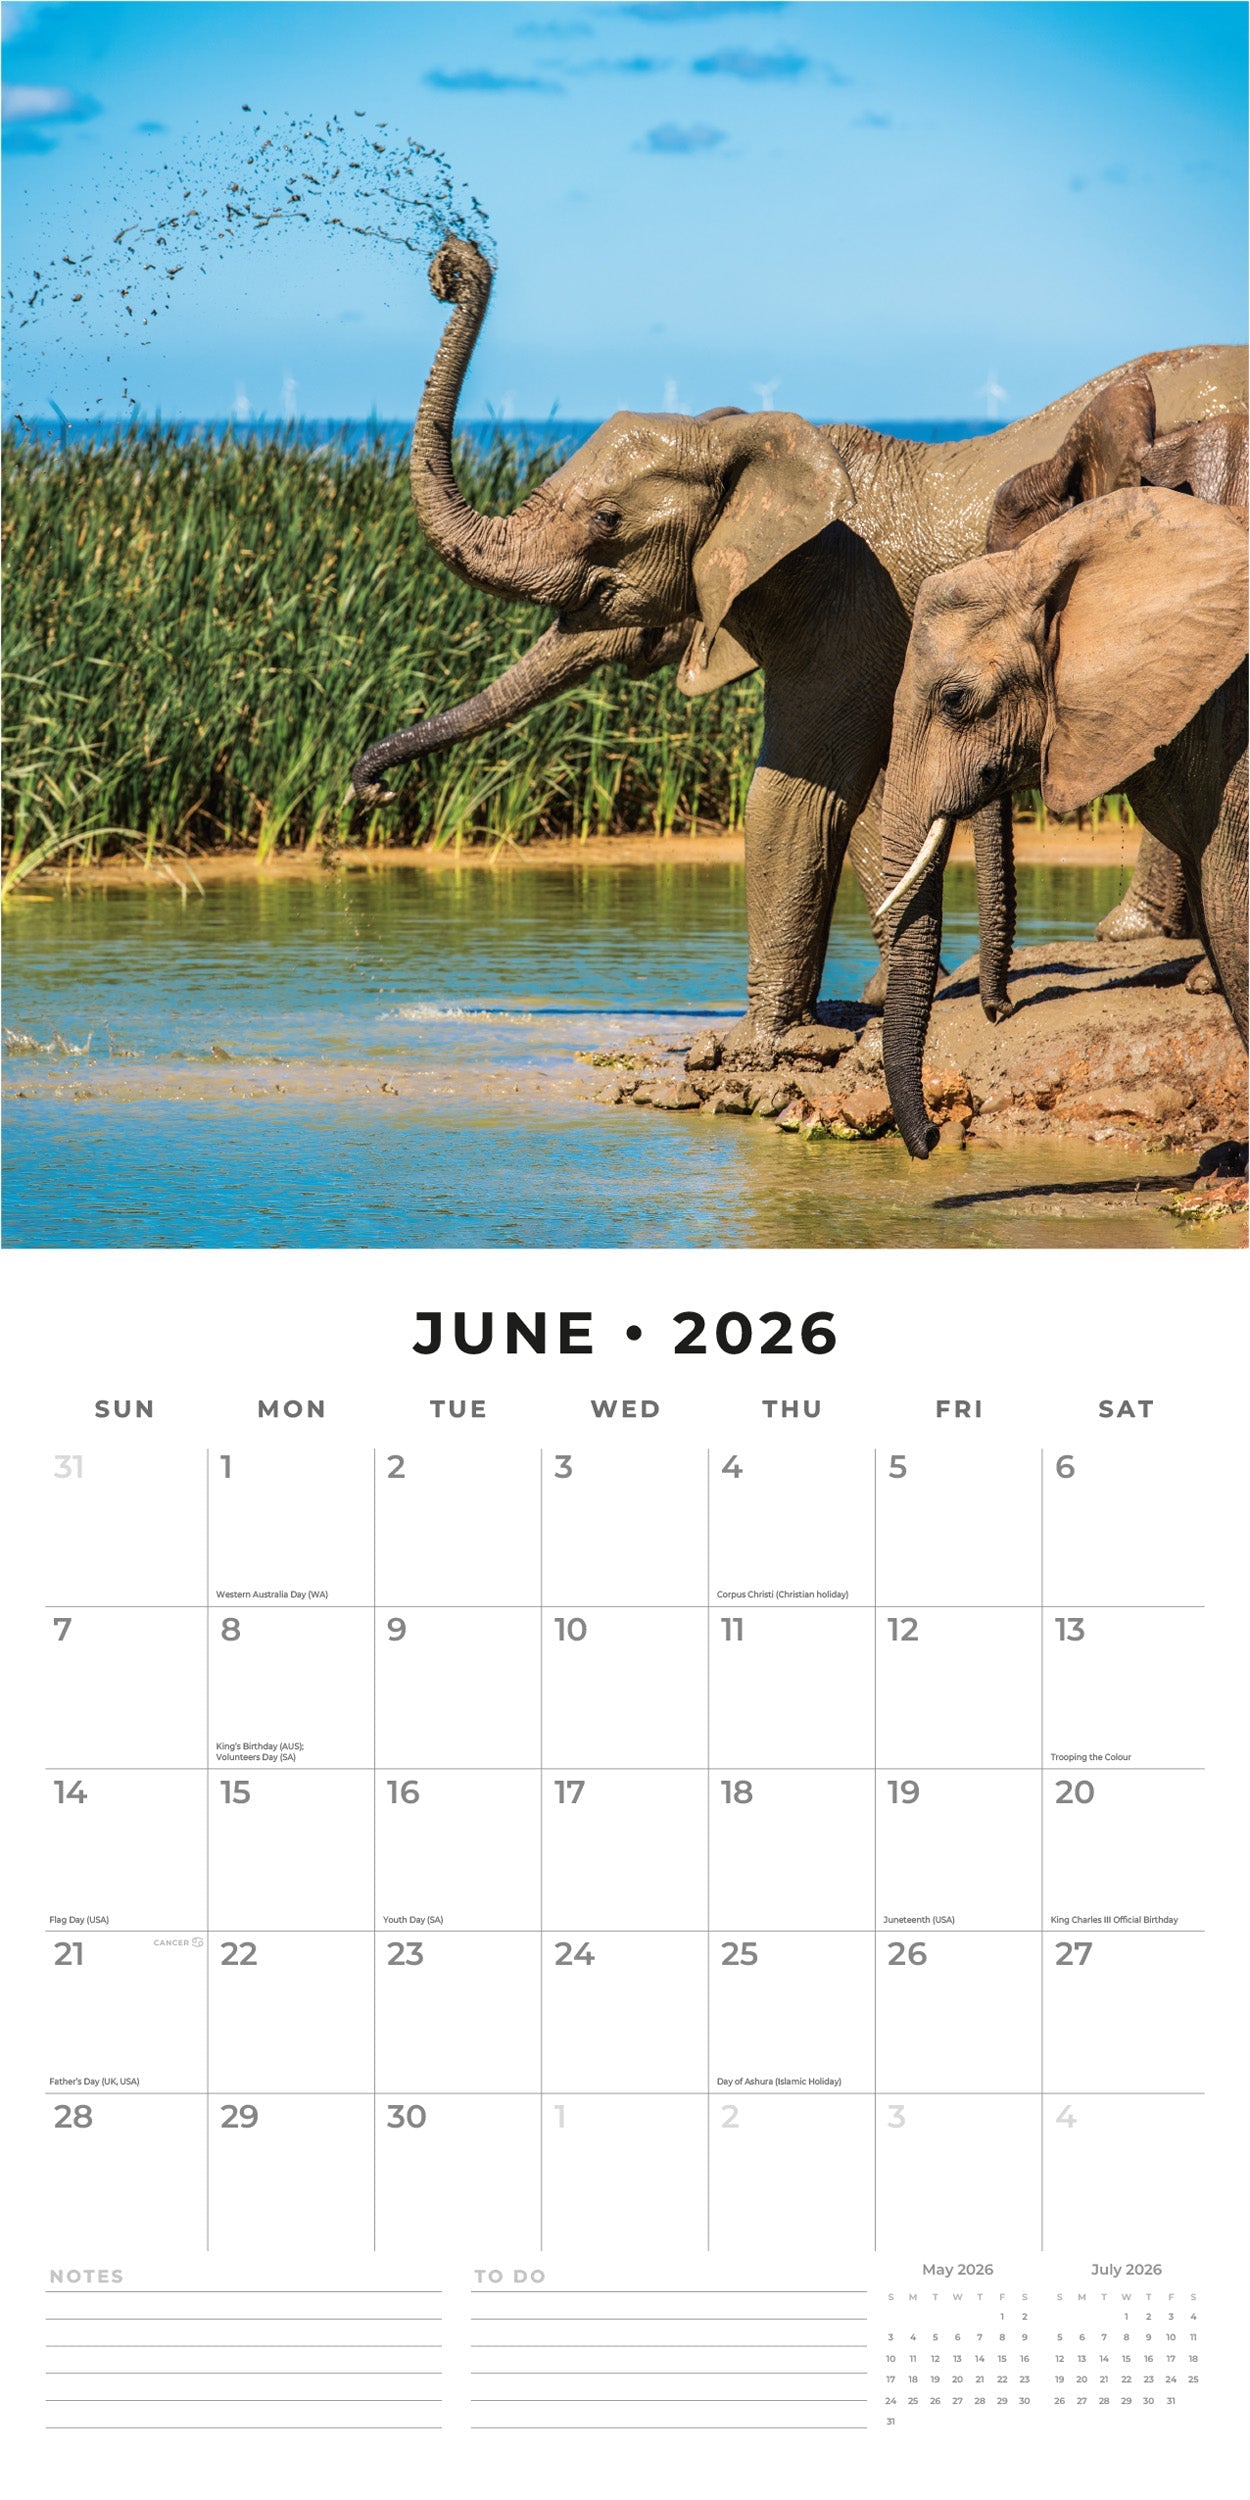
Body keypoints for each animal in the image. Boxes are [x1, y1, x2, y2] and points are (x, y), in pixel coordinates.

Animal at [351, 234, 1246, 1054]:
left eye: (606, 522)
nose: (450, 264)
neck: (749, 442)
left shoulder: (845, 599)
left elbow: (797, 794)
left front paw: (753, 1048)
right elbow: (867, 796)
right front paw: (870, 1006)